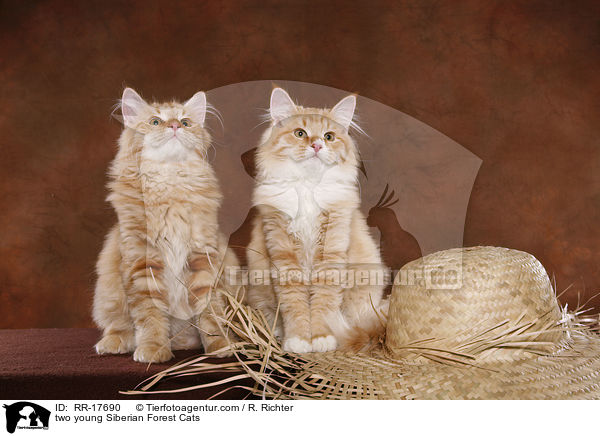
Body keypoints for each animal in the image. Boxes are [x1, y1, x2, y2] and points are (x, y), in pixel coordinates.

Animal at [92, 87, 238, 362]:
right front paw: (153, 349)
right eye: (155, 122)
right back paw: (113, 343)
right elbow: (150, 316)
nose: (174, 126)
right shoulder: (142, 262)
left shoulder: (204, 259)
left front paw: (221, 345)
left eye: (185, 122)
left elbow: (210, 314)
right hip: (109, 289)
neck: (170, 185)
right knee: (118, 326)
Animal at [246, 87, 386, 352]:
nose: (318, 145)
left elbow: (324, 300)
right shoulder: (282, 251)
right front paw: (298, 339)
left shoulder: (332, 249)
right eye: (300, 133)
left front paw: (322, 338)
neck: (307, 187)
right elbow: (294, 302)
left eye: (329, 137)